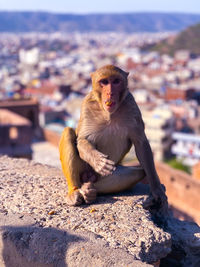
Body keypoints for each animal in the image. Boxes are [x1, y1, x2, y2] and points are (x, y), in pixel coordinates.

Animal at [59, 65, 167, 209]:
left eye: (116, 81)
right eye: (104, 82)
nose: (110, 93)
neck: (109, 114)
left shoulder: (132, 106)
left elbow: (141, 144)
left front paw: (157, 189)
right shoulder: (87, 105)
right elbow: (82, 140)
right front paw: (99, 162)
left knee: (139, 172)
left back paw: (90, 191)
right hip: (83, 169)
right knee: (68, 132)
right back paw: (75, 191)